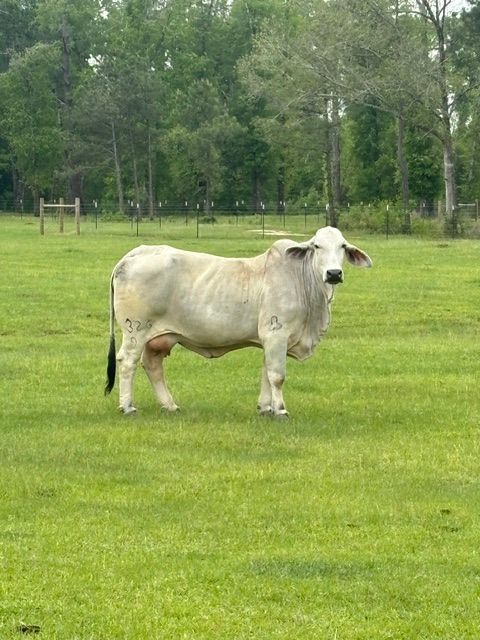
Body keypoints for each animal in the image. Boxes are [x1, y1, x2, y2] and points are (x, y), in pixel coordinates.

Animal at [104, 226, 372, 418]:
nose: (334, 273)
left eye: (342, 246)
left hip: (159, 337)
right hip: (136, 330)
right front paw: (281, 409)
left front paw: (265, 408)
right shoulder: (276, 333)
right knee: (127, 362)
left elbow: (266, 372)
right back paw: (127, 407)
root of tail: (132, 255)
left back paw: (169, 405)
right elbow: (277, 375)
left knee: (152, 365)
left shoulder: (270, 339)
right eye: (317, 246)